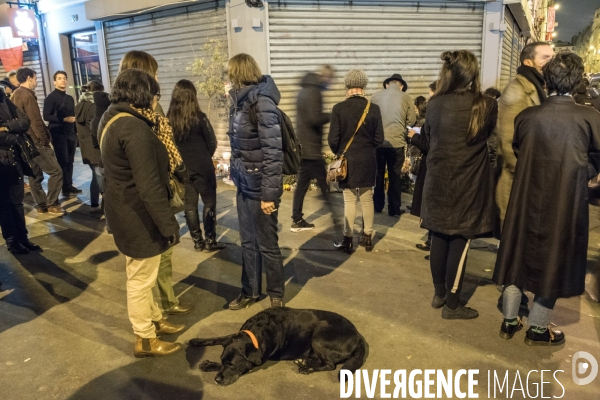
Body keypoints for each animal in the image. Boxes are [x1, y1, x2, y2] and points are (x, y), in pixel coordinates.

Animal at [190, 308, 366, 386]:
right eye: (222, 359)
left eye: (232, 364)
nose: (216, 380)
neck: (255, 333)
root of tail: (359, 335)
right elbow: (219, 338)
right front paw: (198, 341)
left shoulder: (257, 361)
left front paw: (209, 365)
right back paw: (304, 361)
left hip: (319, 330)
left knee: (330, 364)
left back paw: (307, 367)